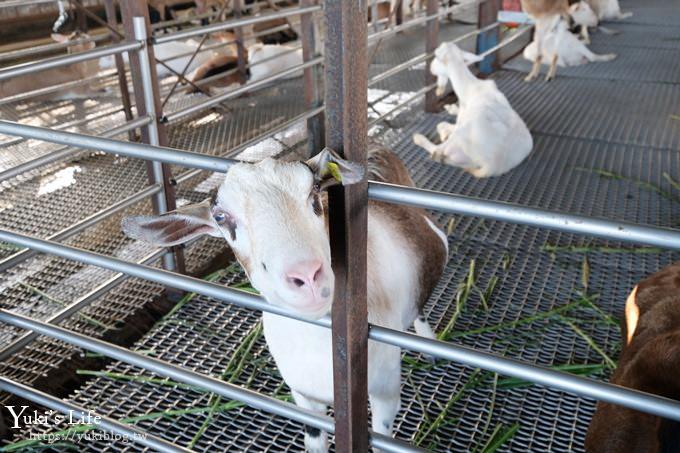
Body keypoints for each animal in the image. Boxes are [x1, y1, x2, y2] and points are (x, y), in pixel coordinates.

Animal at [123, 146, 446, 452]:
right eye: (221, 218)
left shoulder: (385, 391)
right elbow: (314, 440)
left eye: (315, 193)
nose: (306, 276)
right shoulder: (302, 395)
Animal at [412, 42, 532, 177]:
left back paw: (420, 138)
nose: (431, 69)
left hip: (463, 135)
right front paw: (451, 108)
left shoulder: (462, 121)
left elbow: (442, 124)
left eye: (436, 56)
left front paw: (444, 130)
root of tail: (493, 165)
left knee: (437, 151)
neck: (472, 87)